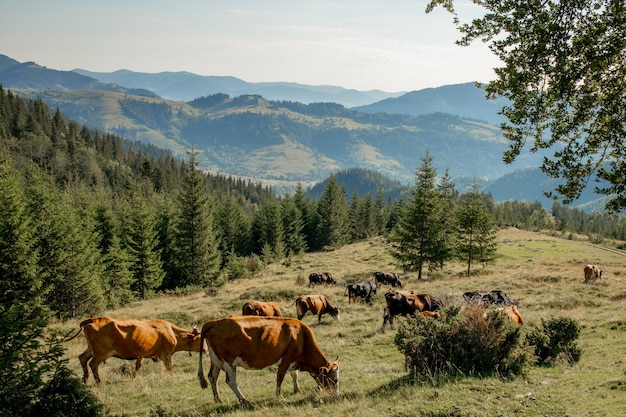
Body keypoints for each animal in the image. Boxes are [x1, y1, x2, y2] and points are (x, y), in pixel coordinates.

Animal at [61, 316, 202, 384]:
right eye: (200, 338)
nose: (205, 349)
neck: (172, 331)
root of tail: (93, 319)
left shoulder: (142, 354)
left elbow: (138, 366)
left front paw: (133, 377)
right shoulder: (166, 355)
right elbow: (169, 367)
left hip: (91, 349)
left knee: (83, 358)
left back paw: (85, 380)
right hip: (100, 352)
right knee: (93, 364)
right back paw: (98, 382)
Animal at [197, 316, 338, 404]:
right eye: (335, 379)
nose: (336, 395)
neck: (300, 335)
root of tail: (213, 322)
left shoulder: (293, 361)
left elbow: (294, 374)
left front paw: (297, 390)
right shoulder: (286, 359)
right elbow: (280, 378)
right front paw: (279, 396)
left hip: (216, 361)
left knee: (212, 377)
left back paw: (218, 399)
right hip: (229, 363)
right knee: (231, 382)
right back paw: (244, 400)